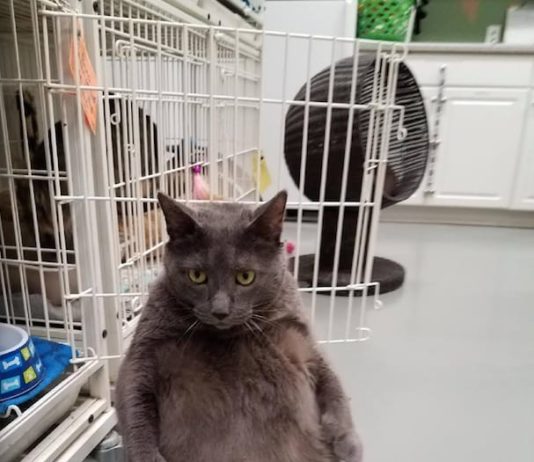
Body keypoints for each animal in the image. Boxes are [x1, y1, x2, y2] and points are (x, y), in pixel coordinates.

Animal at [115, 191, 363, 462]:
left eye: (245, 277)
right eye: (197, 276)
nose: (220, 311)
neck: (228, 337)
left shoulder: (304, 342)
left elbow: (334, 385)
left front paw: (348, 444)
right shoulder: (142, 356)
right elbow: (134, 405)